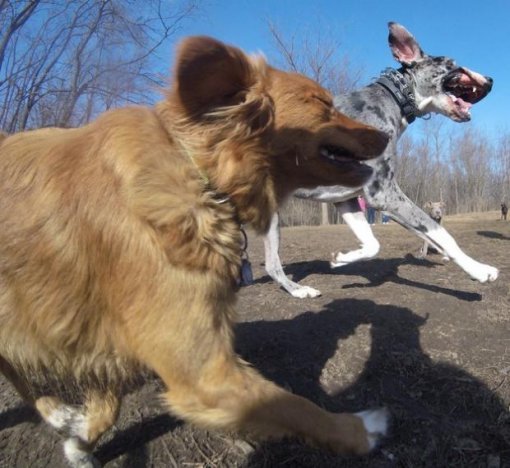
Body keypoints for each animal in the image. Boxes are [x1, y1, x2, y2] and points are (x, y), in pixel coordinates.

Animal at [0, 36, 390, 466]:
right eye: (323, 103)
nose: (387, 136)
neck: (199, 176)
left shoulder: (115, 343)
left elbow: (108, 403)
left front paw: (80, 442)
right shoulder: (202, 373)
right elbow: (295, 407)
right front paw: (361, 430)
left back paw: (59, 414)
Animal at [264, 22, 498, 298]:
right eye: (450, 64)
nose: (491, 80)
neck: (394, 98)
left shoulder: (347, 199)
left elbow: (372, 243)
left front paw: (342, 258)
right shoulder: (385, 194)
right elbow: (440, 232)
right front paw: (480, 270)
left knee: (270, 265)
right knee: (272, 264)